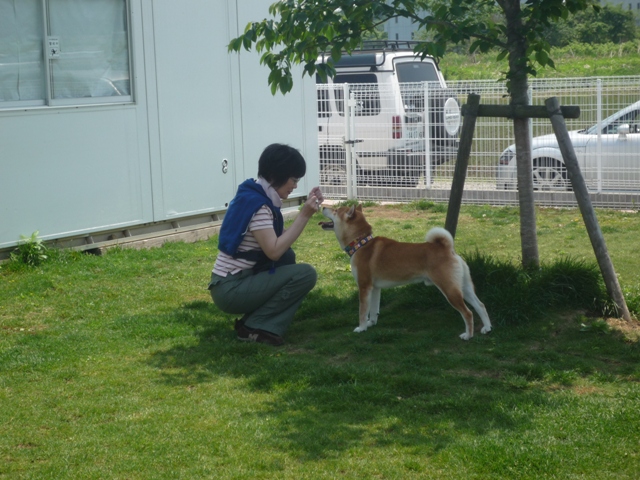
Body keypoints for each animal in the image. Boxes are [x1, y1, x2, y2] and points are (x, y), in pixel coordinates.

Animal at [322, 204, 492, 340]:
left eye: (336, 210)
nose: (323, 206)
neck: (361, 244)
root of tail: (447, 248)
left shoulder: (364, 287)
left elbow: (362, 311)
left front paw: (361, 328)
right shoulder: (375, 288)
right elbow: (374, 310)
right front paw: (371, 324)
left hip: (449, 289)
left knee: (468, 313)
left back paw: (468, 335)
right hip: (463, 287)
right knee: (480, 305)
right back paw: (487, 328)